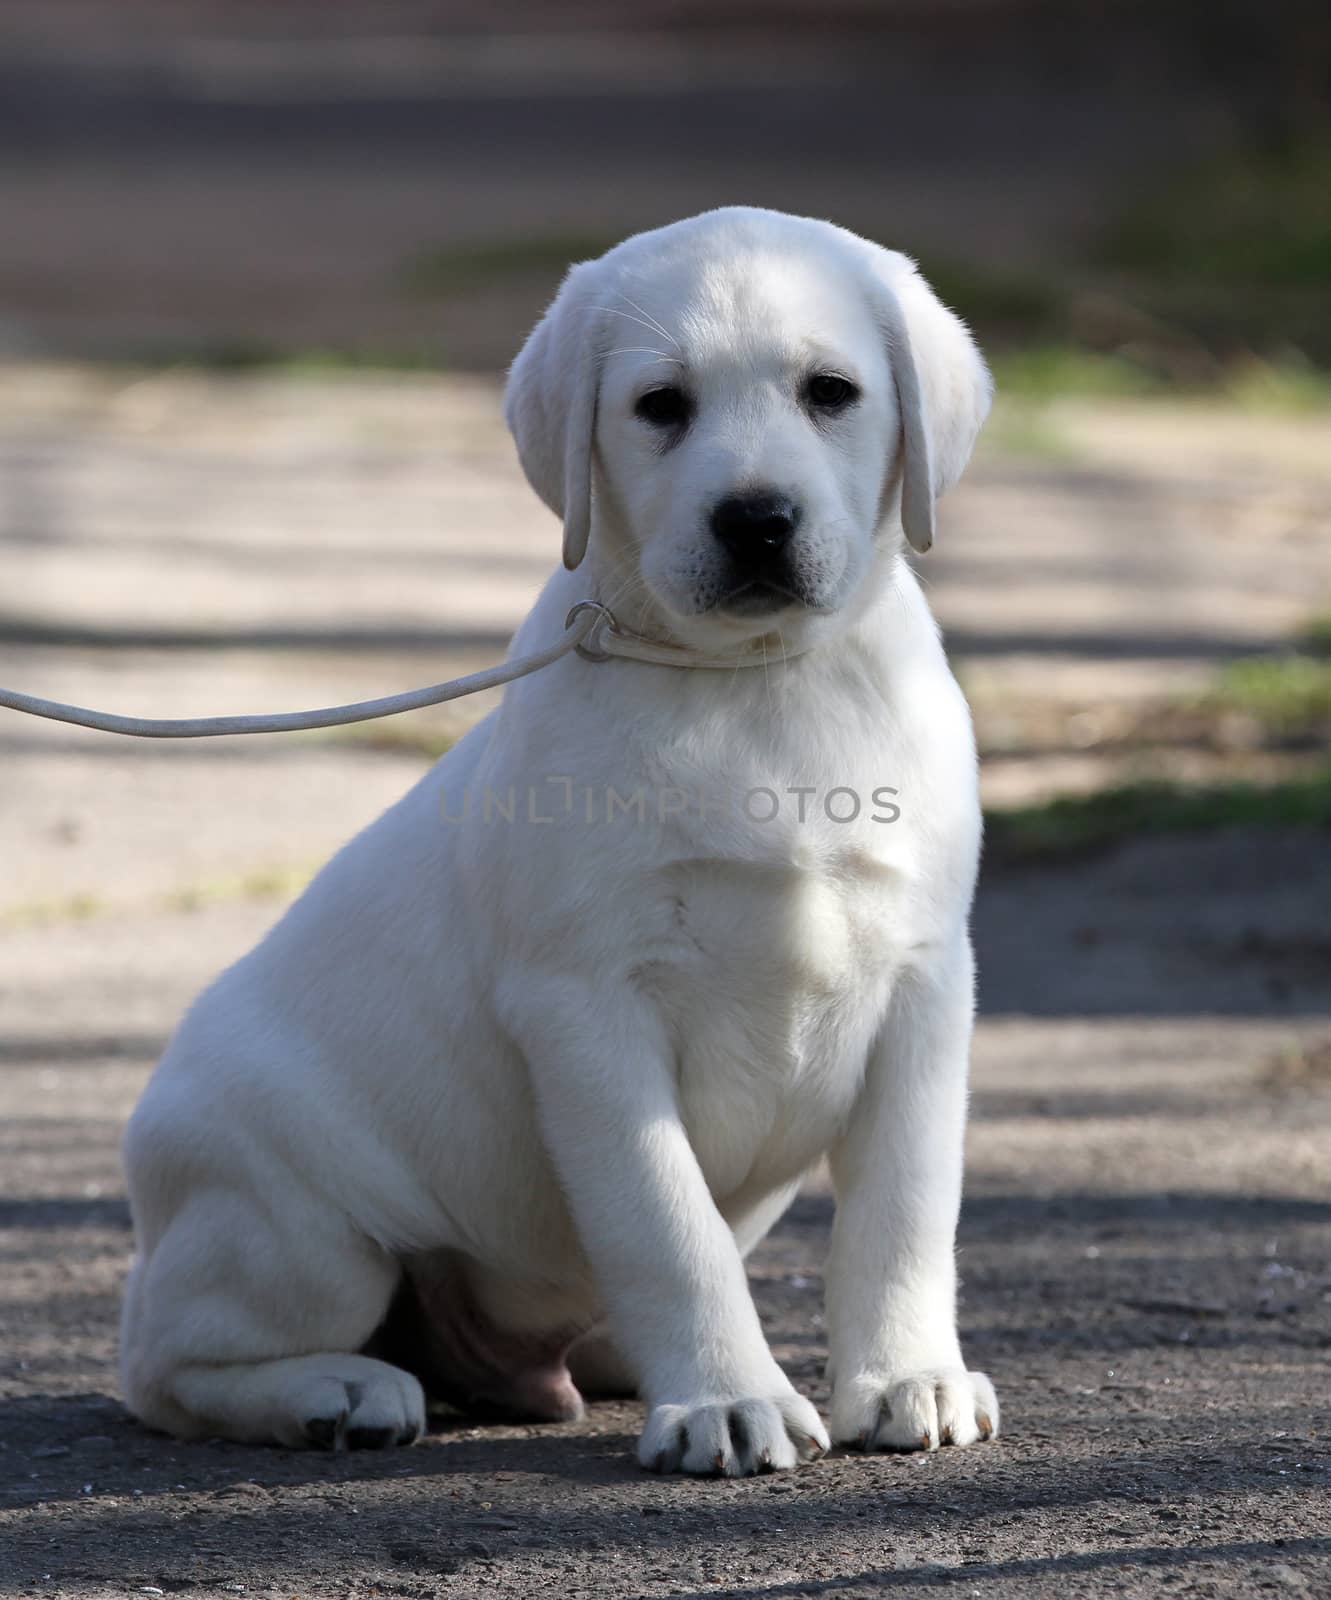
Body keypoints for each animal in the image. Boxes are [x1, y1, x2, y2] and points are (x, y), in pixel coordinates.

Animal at [122, 209, 998, 1472]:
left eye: (829, 392)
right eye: (660, 405)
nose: (754, 518)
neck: (753, 686)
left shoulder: (925, 983)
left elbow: (902, 1210)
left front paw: (904, 1376)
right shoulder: (585, 1005)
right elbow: (664, 1221)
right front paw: (726, 1397)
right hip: (293, 1229)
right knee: (161, 1361)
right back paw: (337, 1389)